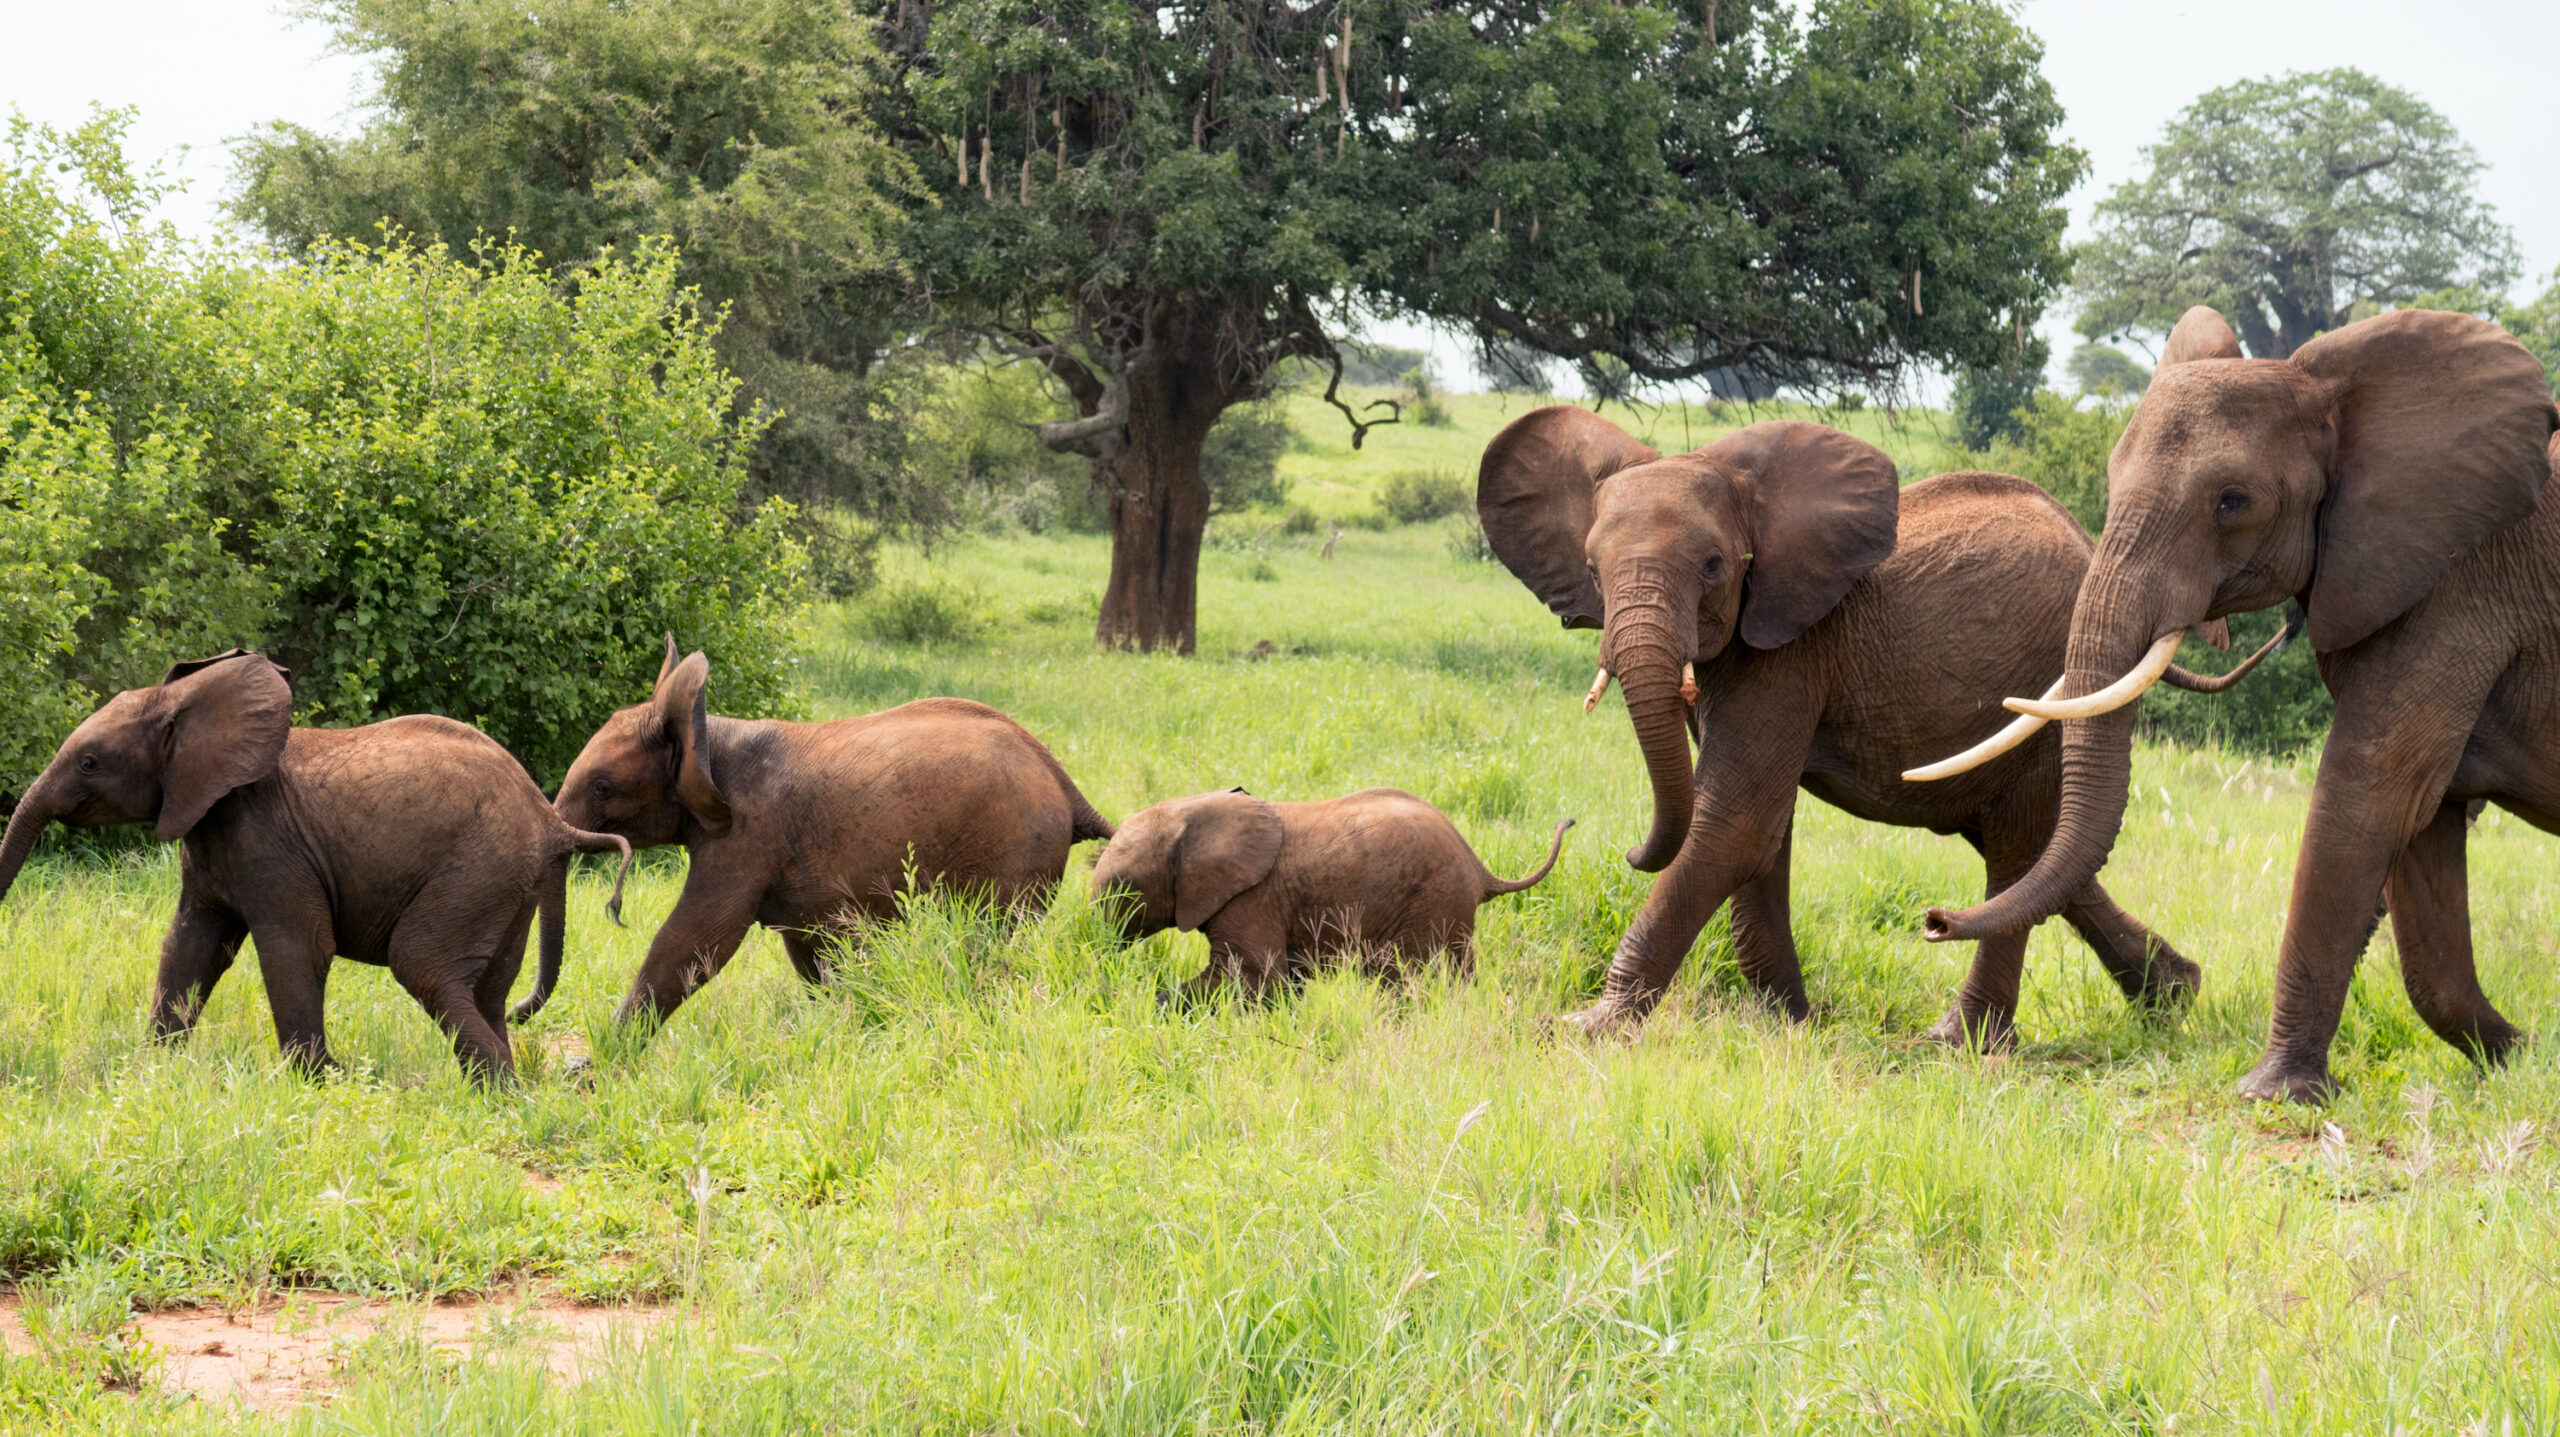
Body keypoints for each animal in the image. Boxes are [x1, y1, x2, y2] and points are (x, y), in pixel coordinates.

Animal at [0, 650, 632, 1082]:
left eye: (89, 762)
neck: (188, 705)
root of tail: (546, 817)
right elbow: (190, 944)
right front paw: (154, 1071)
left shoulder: (269, 843)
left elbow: (296, 946)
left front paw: (318, 1081)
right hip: (509, 883)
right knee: (489, 988)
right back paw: (499, 1087)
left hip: (477, 869)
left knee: (424, 965)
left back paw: (497, 1092)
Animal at [554, 638, 1115, 1030]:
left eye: (603, 787)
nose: (614, 908)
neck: (708, 732)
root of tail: (1067, 785)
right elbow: (810, 954)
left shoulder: (746, 836)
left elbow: (695, 941)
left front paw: (596, 1065)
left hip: (1015, 850)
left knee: (984, 938)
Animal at [1090, 787, 1572, 1000]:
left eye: (1120, 891)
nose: (1099, 958)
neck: (1191, 811)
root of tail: (1479, 866)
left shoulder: (1253, 898)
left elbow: (1250, 975)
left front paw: (1148, 1005)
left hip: (1432, 900)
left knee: (1405, 976)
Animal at [1479, 409, 2290, 1043]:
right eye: (1591, 569)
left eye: (1713, 565)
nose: (1619, 845)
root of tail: (2092, 543)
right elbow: (1761, 831)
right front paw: (1786, 1025)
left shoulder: (1791, 647)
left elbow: (1733, 822)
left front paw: (1587, 1027)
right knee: (2032, 848)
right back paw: (2173, 995)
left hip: (2054, 688)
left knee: (2017, 846)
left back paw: (1960, 1042)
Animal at [1913, 305, 2560, 1102]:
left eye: (2232, 502)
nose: (1934, 918)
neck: (2334, 392)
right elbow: (2423, 825)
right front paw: (2520, 1057)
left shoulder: (2458, 585)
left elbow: (2369, 795)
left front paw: (2273, 1094)